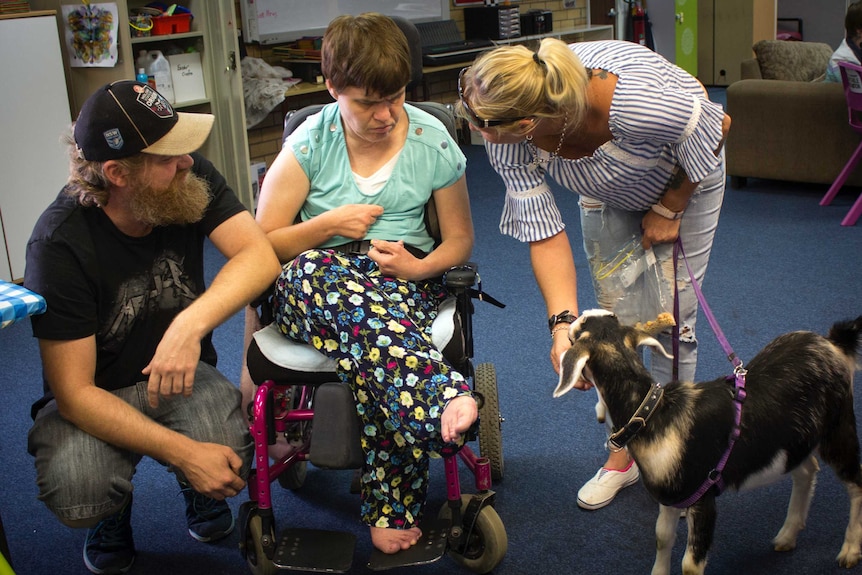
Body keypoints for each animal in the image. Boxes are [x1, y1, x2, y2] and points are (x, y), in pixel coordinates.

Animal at [556, 310, 862, 575]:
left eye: (580, 329)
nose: (571, 317)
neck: (653, 413)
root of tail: (833, 344)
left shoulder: (703, 496)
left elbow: (690, 564)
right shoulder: (671, 496)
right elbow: (662, 537)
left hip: (839, 426)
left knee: (855, 481)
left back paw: (849, 551)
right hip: (793, 441)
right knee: (807, 469)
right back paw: (787, 536)